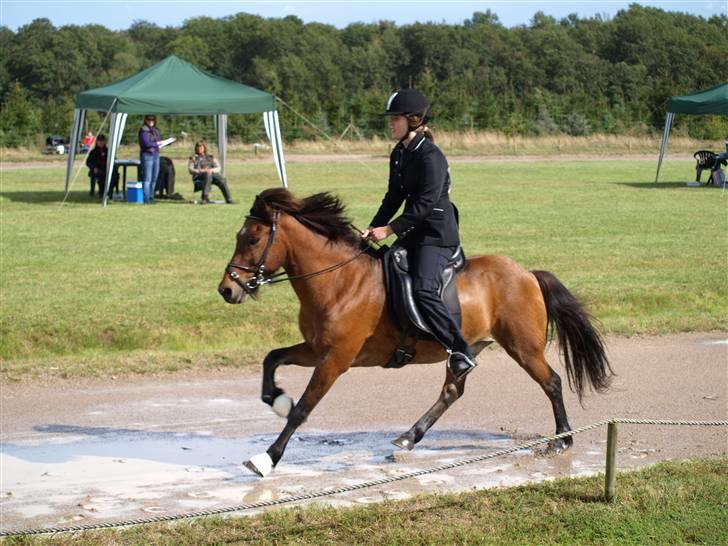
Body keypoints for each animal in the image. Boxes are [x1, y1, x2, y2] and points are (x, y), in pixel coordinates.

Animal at [219, 188, 612, 476]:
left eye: (252, 239)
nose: (227, 289)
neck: (338, 280)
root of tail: (527, 273)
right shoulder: (317, 349)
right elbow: (272, 358)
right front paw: (276, 398)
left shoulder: (335, 358)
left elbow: (303, 409)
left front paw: (267, 457)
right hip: (468, 348)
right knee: (452, 391)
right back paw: (409, 437)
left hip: (524, 347)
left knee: (552, 382)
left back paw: (562, 440)